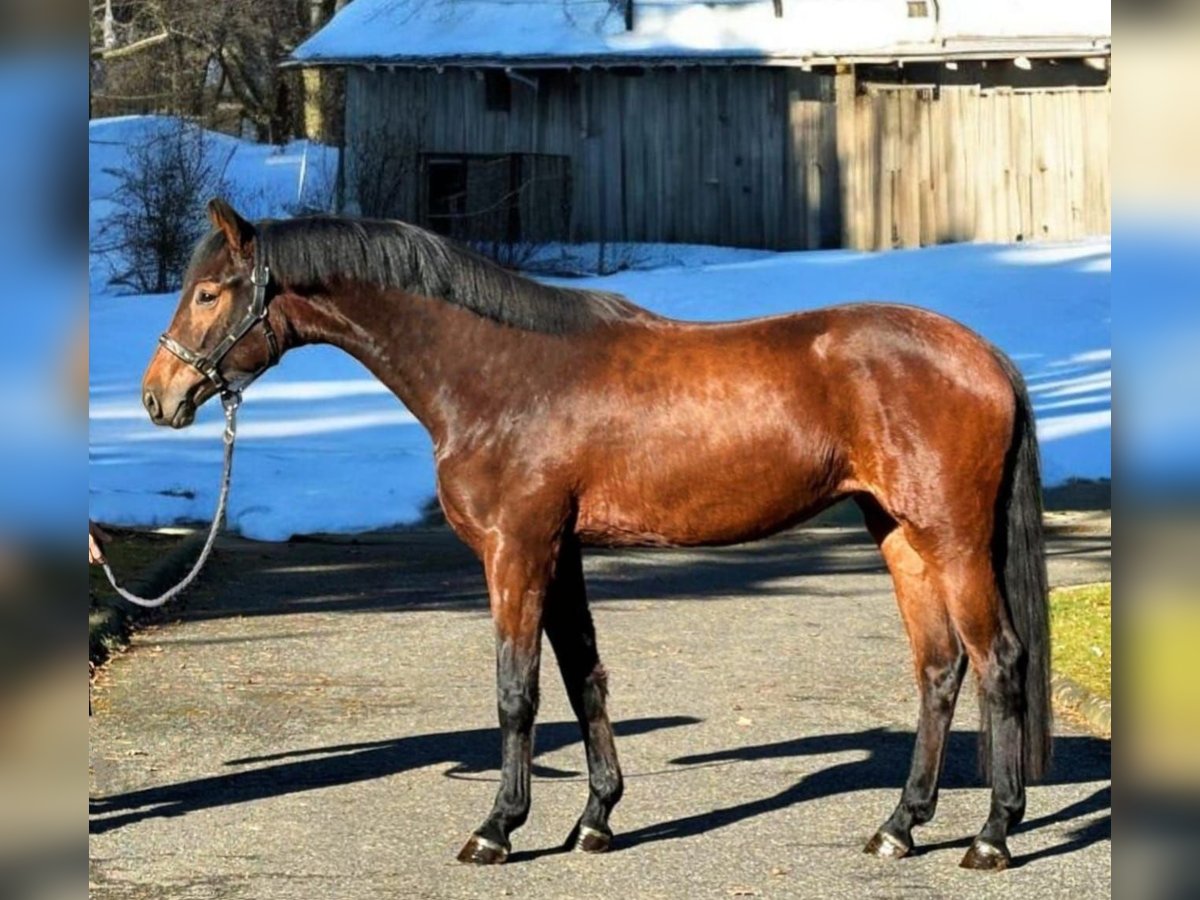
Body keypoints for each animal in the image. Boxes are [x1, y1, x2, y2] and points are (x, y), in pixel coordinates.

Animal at [140, 200, 1051, 868]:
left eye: (211, 291)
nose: (160, 395)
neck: (500, 375)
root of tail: (987, 357)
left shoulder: (516, 549)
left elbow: (518, 691)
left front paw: (497, 829)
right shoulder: (560, 550)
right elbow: (584, 679)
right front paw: (596, 819)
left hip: (951, 538)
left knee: (998, 660)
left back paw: (992, 835)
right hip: (898, 533)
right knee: (938, 668)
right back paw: (901, 825)